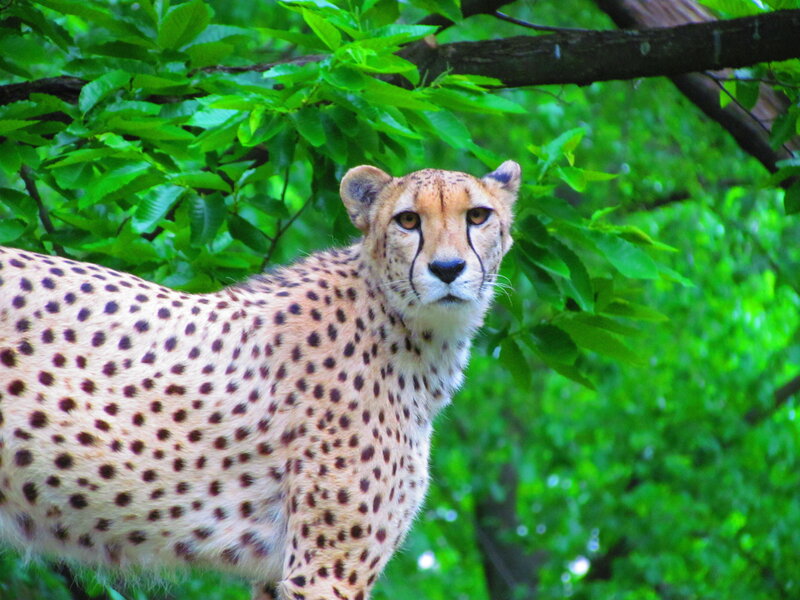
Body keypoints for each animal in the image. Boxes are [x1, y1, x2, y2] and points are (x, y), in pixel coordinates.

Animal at [0, 159, 521, 600]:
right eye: (408, 221)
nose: (447, 269)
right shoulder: (325, 569)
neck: (406, 325)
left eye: (478, 215)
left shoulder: (282, 572)